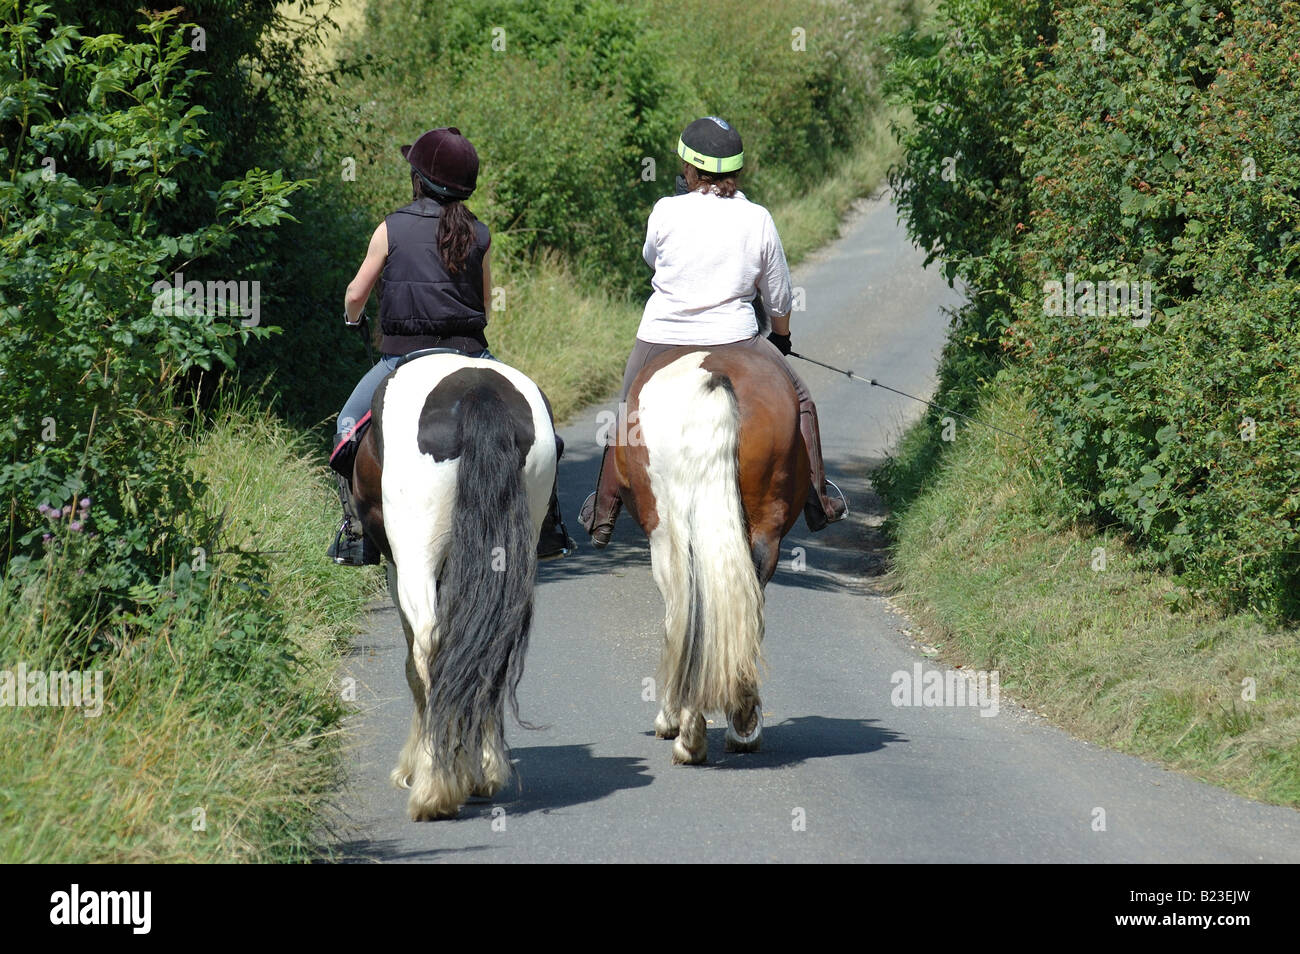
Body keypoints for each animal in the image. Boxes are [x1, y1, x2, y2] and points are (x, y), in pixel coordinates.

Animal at [351, 356, 559, 816]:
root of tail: (478, 391)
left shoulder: (396, 569)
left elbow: (414, 666)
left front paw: (411, 768)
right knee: (492, 645)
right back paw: (486, 770)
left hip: (415, 558)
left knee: (429, 647)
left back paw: (434, 786)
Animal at [611, 348, 806, 764]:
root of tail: (713, 377)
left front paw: (671, 721)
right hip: (765, 527)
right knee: (748, 612)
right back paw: (743, 726)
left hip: (667, 530)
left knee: (681, 611)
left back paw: (688, 734)